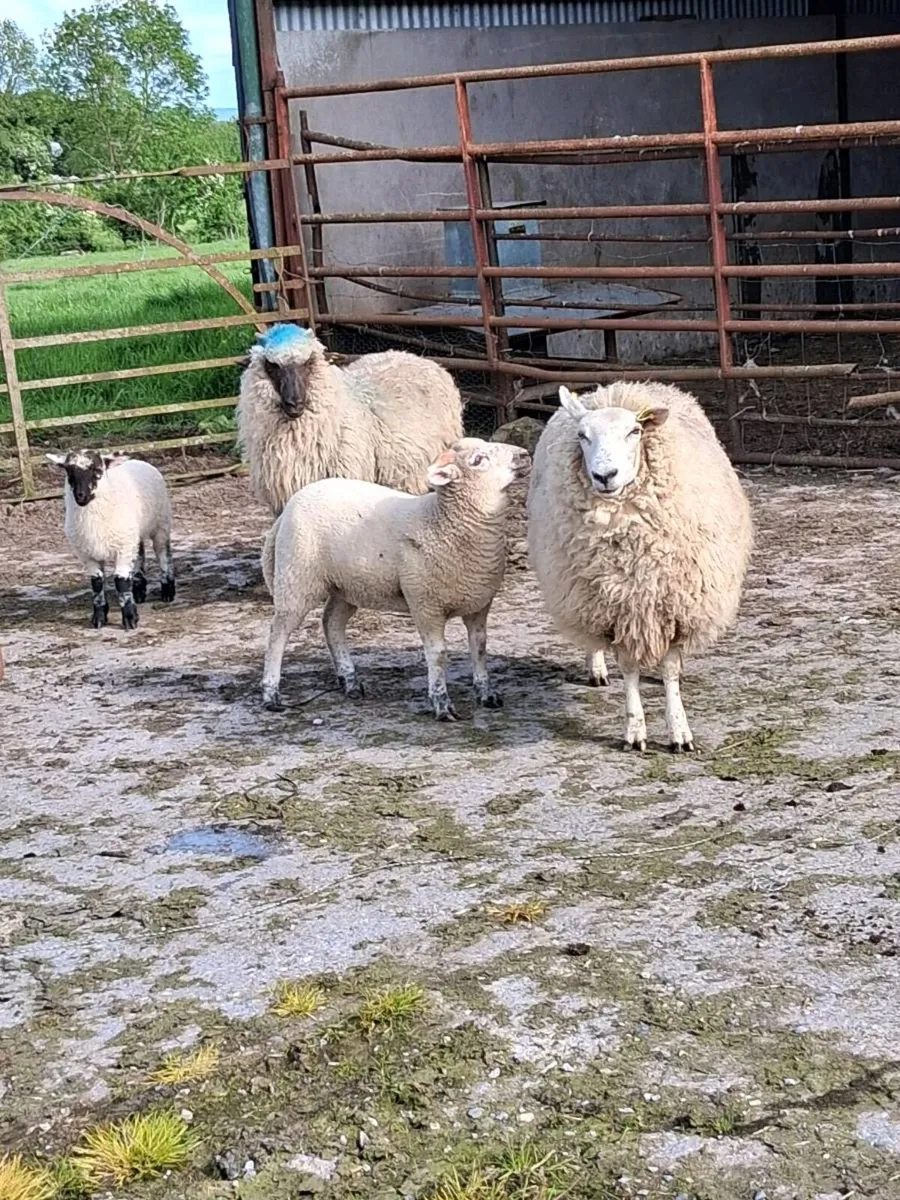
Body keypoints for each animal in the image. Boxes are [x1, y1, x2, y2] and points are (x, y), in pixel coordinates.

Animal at [45, 450, 175, 630]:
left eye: (98, 470)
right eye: (69, 471)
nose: (81, 496)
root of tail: (138, 461)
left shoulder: (123, 547)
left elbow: (121, 581)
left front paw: (130, 618)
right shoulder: (87, 553)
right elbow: (97, 582)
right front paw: (99, 617)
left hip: (160, 525)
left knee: (162, 554)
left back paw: (167, 591)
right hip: (133, 533)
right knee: (139, 553)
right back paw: (138, 591)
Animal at [260, 437, 530, 718]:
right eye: (477, 460)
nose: (524, 454)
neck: (441, 521)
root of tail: (288, 509)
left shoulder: (479, 603)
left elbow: (479, 647)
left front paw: (487, 694)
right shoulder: (425, 604)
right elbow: (438, 654)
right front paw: (441, 703)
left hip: (348, 585)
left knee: (331, 623)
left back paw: (350, 681)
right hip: (297, 576)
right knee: (278, 632)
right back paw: (271, 694)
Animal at [527, 382, 753, 752]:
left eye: (634, 431)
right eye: (582, 435)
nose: (605, 475)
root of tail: (620, 387)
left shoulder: (674, 608)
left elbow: (670, 670)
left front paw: (679, 731)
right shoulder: (618, 609)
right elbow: (629, 668)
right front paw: (635, 730)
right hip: (582, 595)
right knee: (591, 639)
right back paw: (596, 668)